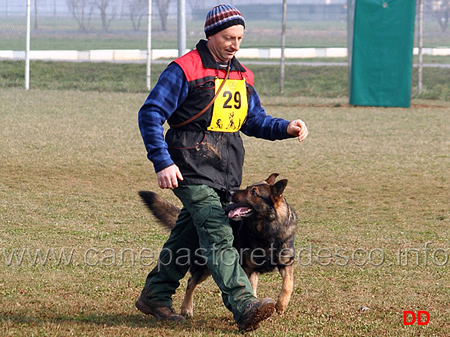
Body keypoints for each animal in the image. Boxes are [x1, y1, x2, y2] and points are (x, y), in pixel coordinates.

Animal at [139, 172, 298, 316]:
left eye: (253, 192)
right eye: (248, 187)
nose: (229, 192)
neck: (268, 231)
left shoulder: (286, 264)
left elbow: (288, 284)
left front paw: (281, 305)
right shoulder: (248, 268)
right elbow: (250, 287)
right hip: (205, 267)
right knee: (191, 282)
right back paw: (186, 308)